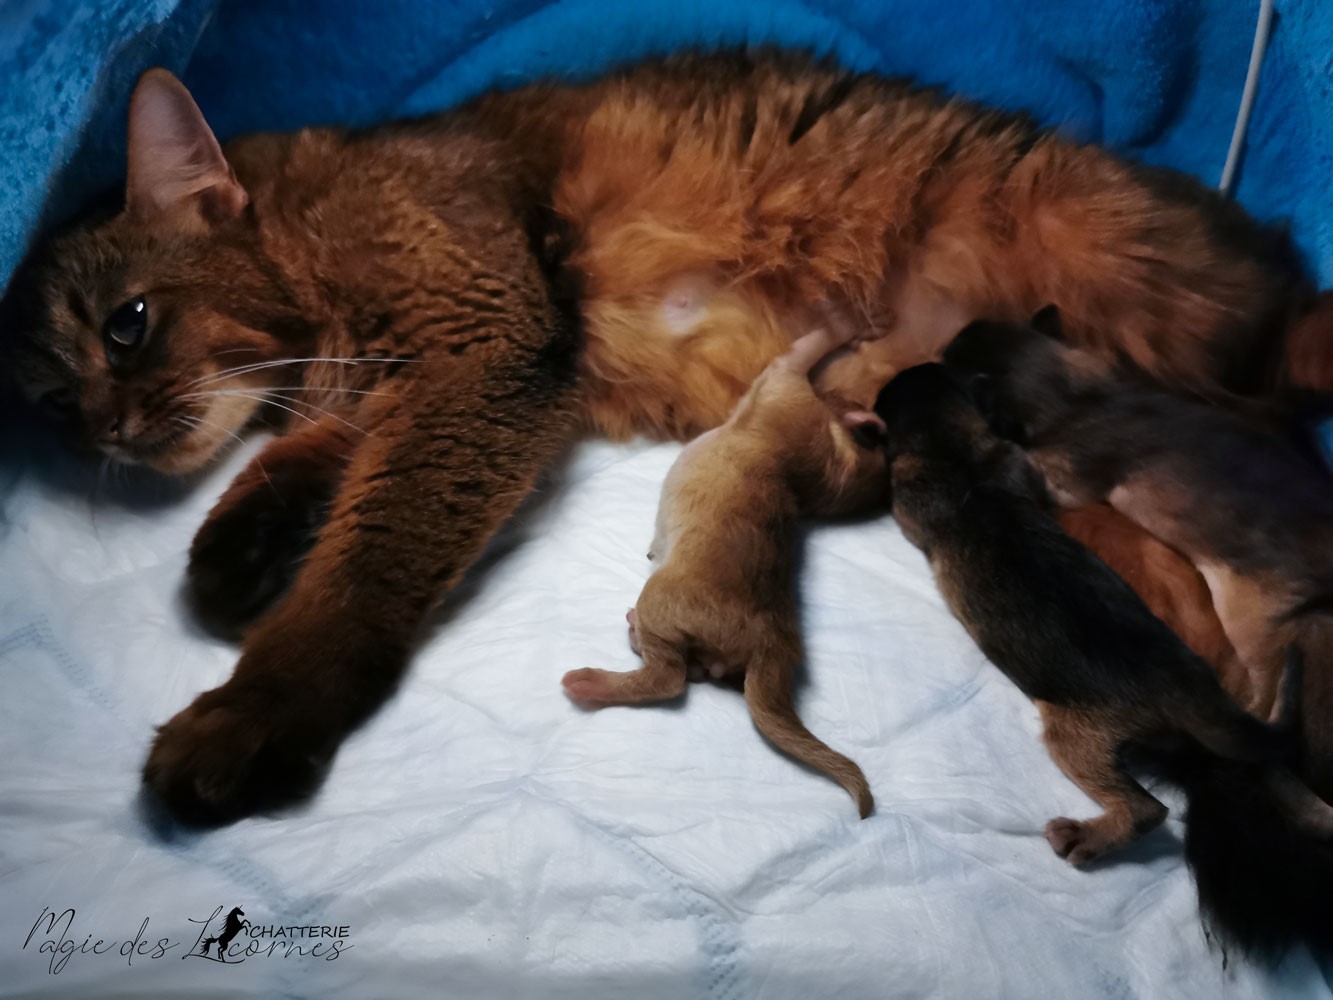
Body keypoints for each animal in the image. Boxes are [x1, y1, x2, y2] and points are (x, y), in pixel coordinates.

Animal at [562, 325, 883, 817]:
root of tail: (771, 648)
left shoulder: (783, 383)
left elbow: (804, 346)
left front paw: (844, 327)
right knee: (684, 672)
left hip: (660, 599)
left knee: (668, 679)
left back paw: (590, 681)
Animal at [870, 362, 1332, 958]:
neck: (953, 451)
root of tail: (1185, 685)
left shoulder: (910, 496)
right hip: (1230, 732)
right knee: (1272, 771)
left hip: (1076, 735)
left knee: (1147, 809)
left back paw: (1086, 837)